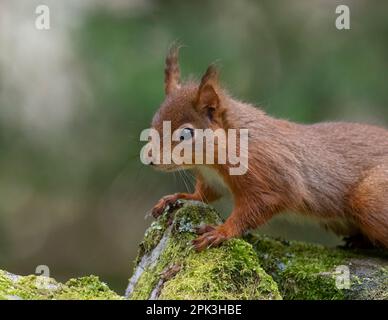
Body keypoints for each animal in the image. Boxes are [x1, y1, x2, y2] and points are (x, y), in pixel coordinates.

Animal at [145, 45, 388, 251]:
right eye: (153, 122)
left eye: (186, 134)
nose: (149, 159)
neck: (211, 162)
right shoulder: (211, 180)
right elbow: (203, 194)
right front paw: (176, 197)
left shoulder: (266, 170)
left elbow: (262, 204)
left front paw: (222, 231)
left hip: (371, 198)